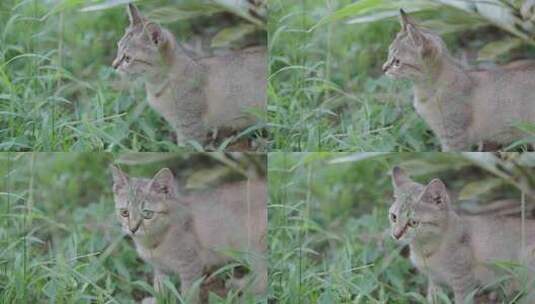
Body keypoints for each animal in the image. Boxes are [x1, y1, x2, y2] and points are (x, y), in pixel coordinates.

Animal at [111, 166, 268, 304]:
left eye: (147, 214)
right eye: (124, 212)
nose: (132, 229)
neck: (153, 243)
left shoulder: (191, 265)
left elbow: (188, 294)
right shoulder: (160, 269)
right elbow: (159, 288)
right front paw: (157, 300)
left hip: (253, 247)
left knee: (262, 278)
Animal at [390, 167, 535, 302]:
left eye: (413, 222)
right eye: (393, 217)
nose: (396, 235)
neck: (424, 251)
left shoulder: (463, 279)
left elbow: (462, 299)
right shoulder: (434, 280)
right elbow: (432, 298)